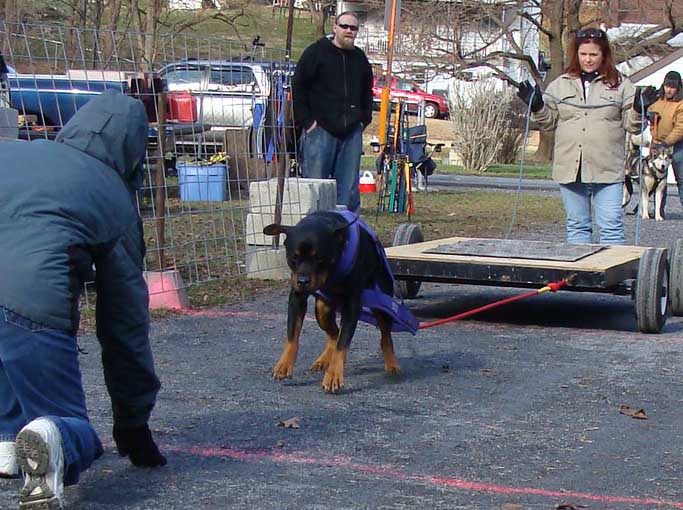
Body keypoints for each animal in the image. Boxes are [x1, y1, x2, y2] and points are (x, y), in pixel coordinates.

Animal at [264, 209, 420, 392]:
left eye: (319, 258)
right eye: (293, 258)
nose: (303, 281)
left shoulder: (353, 304)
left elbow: (343, 343)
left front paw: (333, 375)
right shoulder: (297, 297)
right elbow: (292, 334)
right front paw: (284, 364)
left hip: (382, 299)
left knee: (384, 336)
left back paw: (392, 364)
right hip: (322, 309)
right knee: (334, 332)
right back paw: (325, 359)